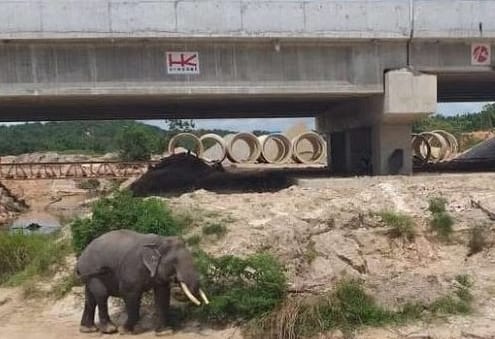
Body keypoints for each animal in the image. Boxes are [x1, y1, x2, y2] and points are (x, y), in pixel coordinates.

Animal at [74, 230, 208, 336]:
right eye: (174, 262)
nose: (177, 284)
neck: (159, 241)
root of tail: (80, 257)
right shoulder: (132, 268)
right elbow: (130, 294)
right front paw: (124, 330)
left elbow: (162, 295)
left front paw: (165, 332)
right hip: (92, 271)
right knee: (101, 295)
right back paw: (110, 330)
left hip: (89, 275)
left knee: (90, 298)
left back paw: (88, 329)